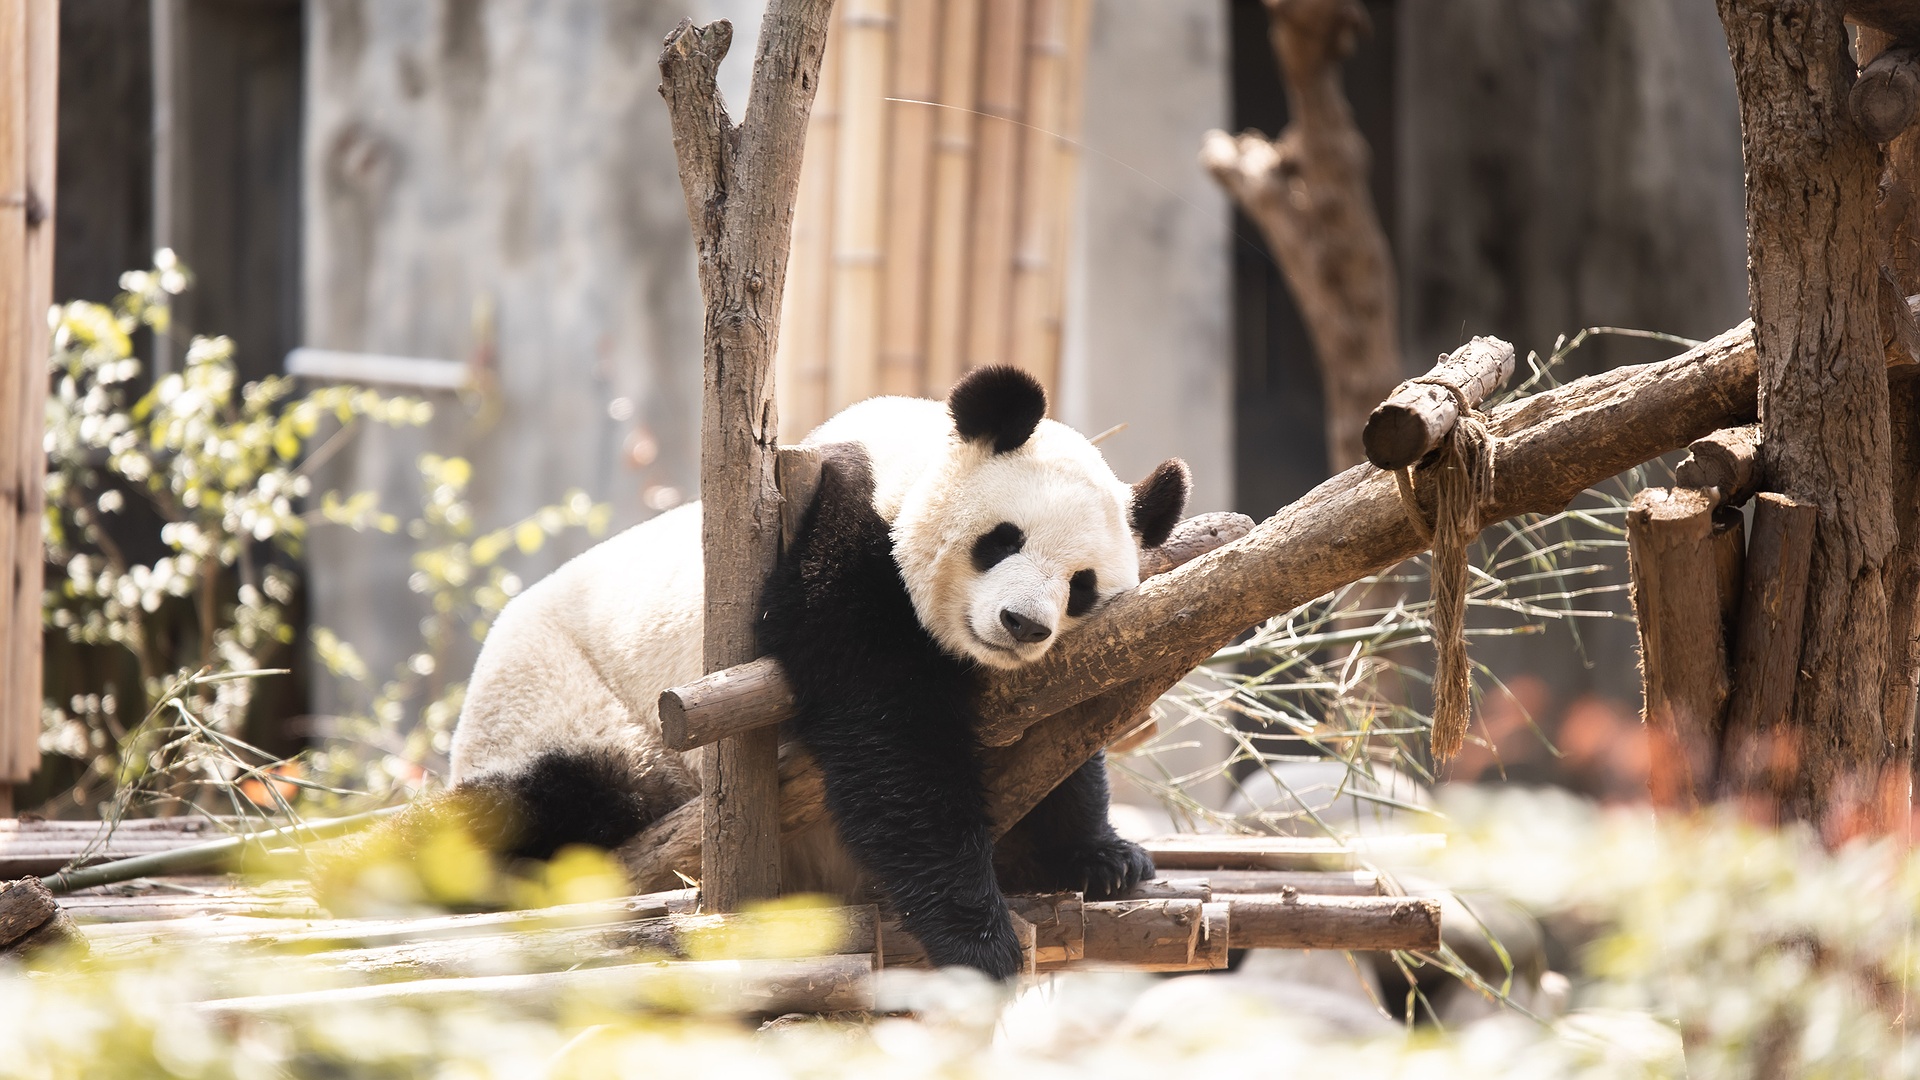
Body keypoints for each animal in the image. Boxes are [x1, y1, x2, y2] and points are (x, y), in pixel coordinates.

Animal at [447, 366, 1190, 978]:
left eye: (1081, 587)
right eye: (1003, 540)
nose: (1023, 624)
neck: (902, 457)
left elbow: (1060, 737)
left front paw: (1105, 857)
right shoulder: (842, 537)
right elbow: (887, 733)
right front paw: (980, 939)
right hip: (565, 707)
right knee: (547, 805)